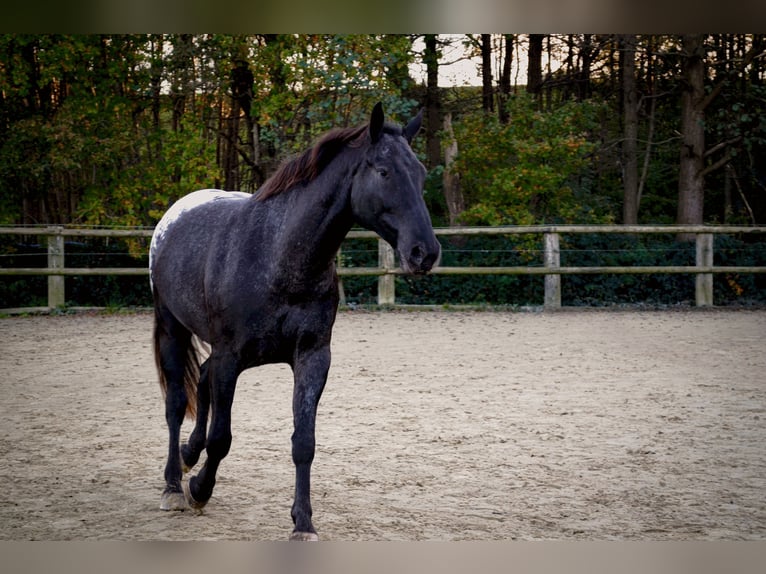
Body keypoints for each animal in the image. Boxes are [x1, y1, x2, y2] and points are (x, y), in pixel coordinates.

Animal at [149, 104, 440, 544]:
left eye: (421, 173)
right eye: (384, 171)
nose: (425, 252)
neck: (278, 255)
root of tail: (172, 218)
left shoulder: (312, 358)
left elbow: (304, 442)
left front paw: (303, 523)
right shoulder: (231, 358)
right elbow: (222, 437)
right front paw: (199, 488)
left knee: (200, 377)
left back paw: (187, 455)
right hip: (173, 330)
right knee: (176, 404)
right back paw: (172, 486)